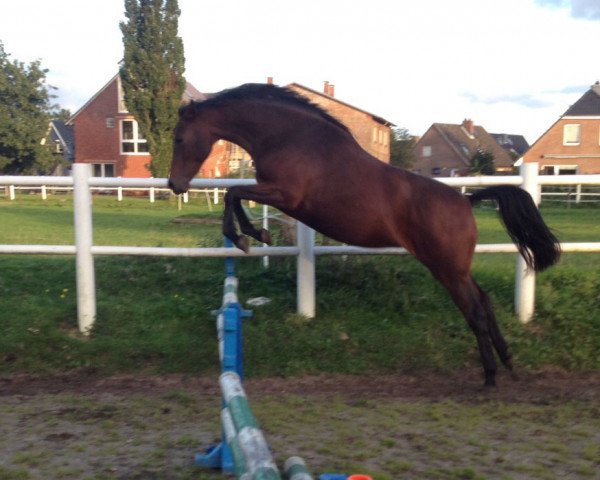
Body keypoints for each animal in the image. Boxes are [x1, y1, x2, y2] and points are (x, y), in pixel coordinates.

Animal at [166, 84, 560, 388]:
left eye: (180, 137)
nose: (175, 185)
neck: (289, 136)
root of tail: (466, 201)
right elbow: (234, 194)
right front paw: (253, 233)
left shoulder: (285, 195)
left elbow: (233, 192)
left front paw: (248, 235)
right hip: (457, 269)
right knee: (485, 302)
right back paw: (507, 360)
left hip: (447, 270)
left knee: (475, 311)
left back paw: (491, 375)